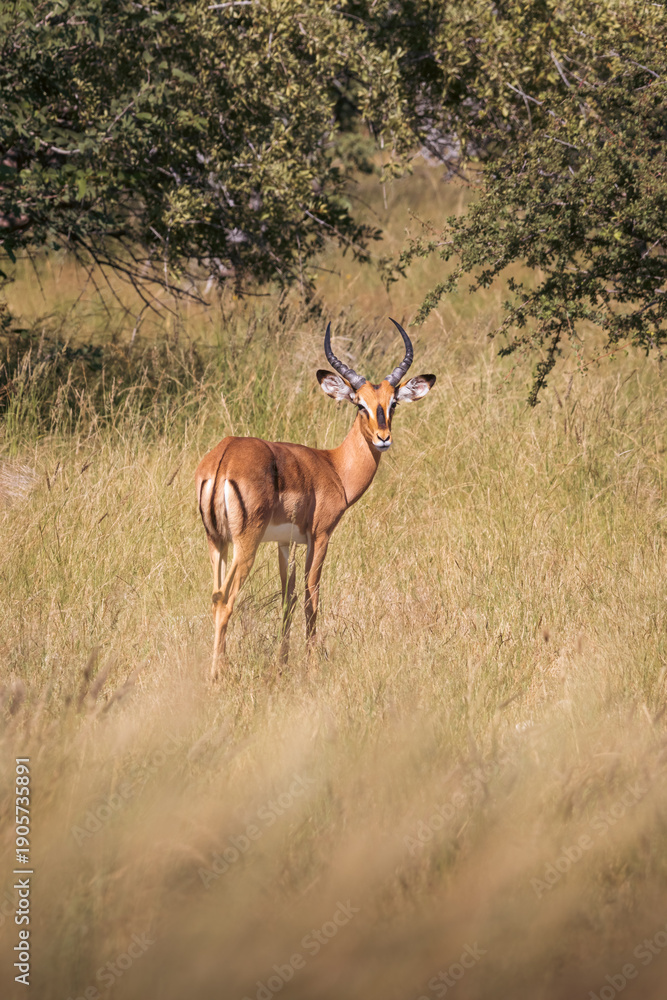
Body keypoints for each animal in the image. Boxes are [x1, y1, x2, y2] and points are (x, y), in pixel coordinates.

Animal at [195, 319, 435, 679]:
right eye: (359, 403)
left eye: (392, 403)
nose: (383, 439)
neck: (333, 466)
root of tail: (223, 457)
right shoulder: (320, 536)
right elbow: (312, 598)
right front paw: (309, 663)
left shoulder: (286, 543)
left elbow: (288, 599)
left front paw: (283, 663)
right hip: (245, 543)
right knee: (225, 600)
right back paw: (217, 675)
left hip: (217, 542)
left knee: (214, 596)